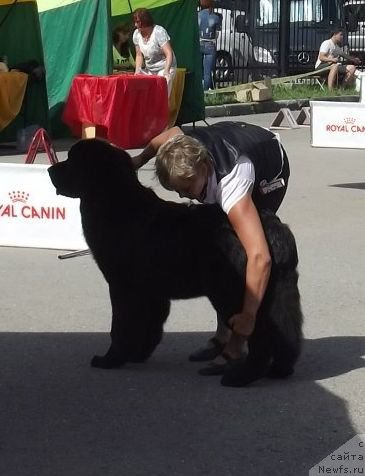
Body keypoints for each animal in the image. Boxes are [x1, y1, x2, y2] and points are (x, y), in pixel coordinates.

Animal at [47, 138, 302, 386]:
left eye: (72, 161)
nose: (49, 169)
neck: (113, 202)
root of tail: (273, 227)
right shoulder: (152, 291)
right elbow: (151, 326)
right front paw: (137, 354)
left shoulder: (121, 286)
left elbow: (120, 326)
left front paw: (111, 359)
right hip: (278, 292)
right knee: (287, 329)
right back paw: (280, 369)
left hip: (234, 291)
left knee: (259, 333)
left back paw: (241, 376)